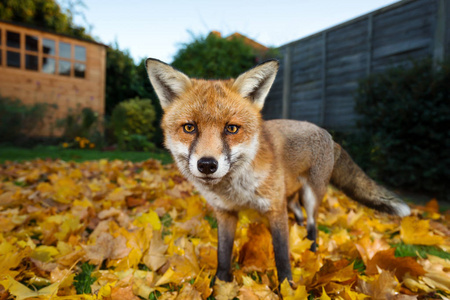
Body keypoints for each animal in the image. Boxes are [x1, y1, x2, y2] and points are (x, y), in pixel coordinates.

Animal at [145, 58, 412, 286]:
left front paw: (287, 287)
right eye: (189, 128)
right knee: (300, 217)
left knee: (313, 225)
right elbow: (223, 254)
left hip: (310, 196)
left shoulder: (275, 209)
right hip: (290, 197)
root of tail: (328, 134)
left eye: (231, 129)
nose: (207, 165)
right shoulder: (225, 213)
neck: (236, 190)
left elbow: (282, 255)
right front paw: (220, 284)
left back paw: (311, 251)